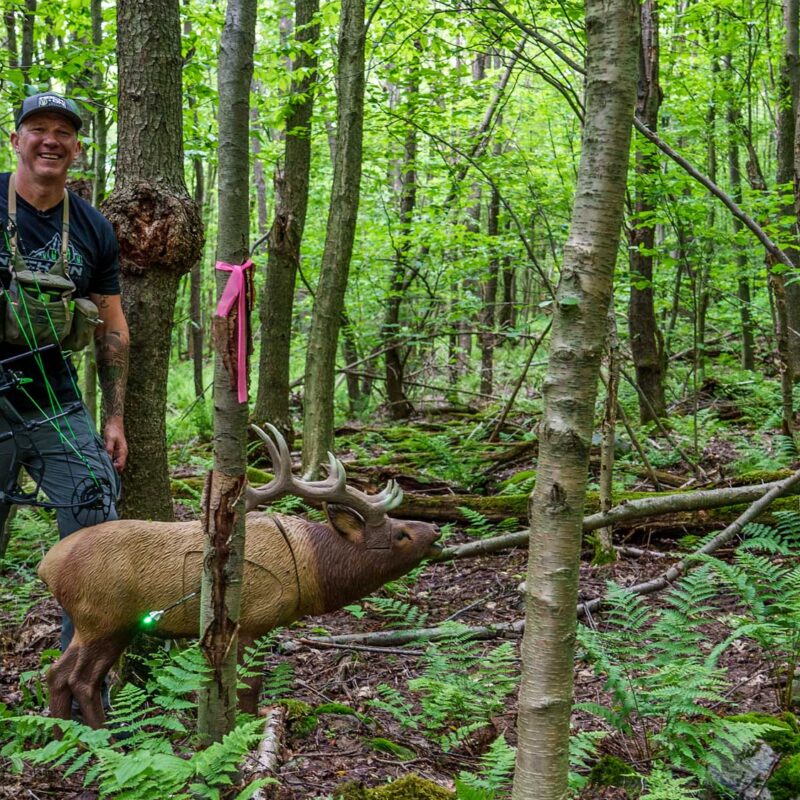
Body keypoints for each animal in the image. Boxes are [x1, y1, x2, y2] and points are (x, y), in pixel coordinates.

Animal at [37, 424, 441, 729]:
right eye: (401, 534)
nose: (435, 529)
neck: (308, 565)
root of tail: (46, 566)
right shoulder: (252, 619)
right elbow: (250, 684)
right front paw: (251, 724)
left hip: (104, 624)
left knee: (57, 674)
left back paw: (66, 735)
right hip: (102, 618)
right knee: (80, 679)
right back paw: (101, 736)